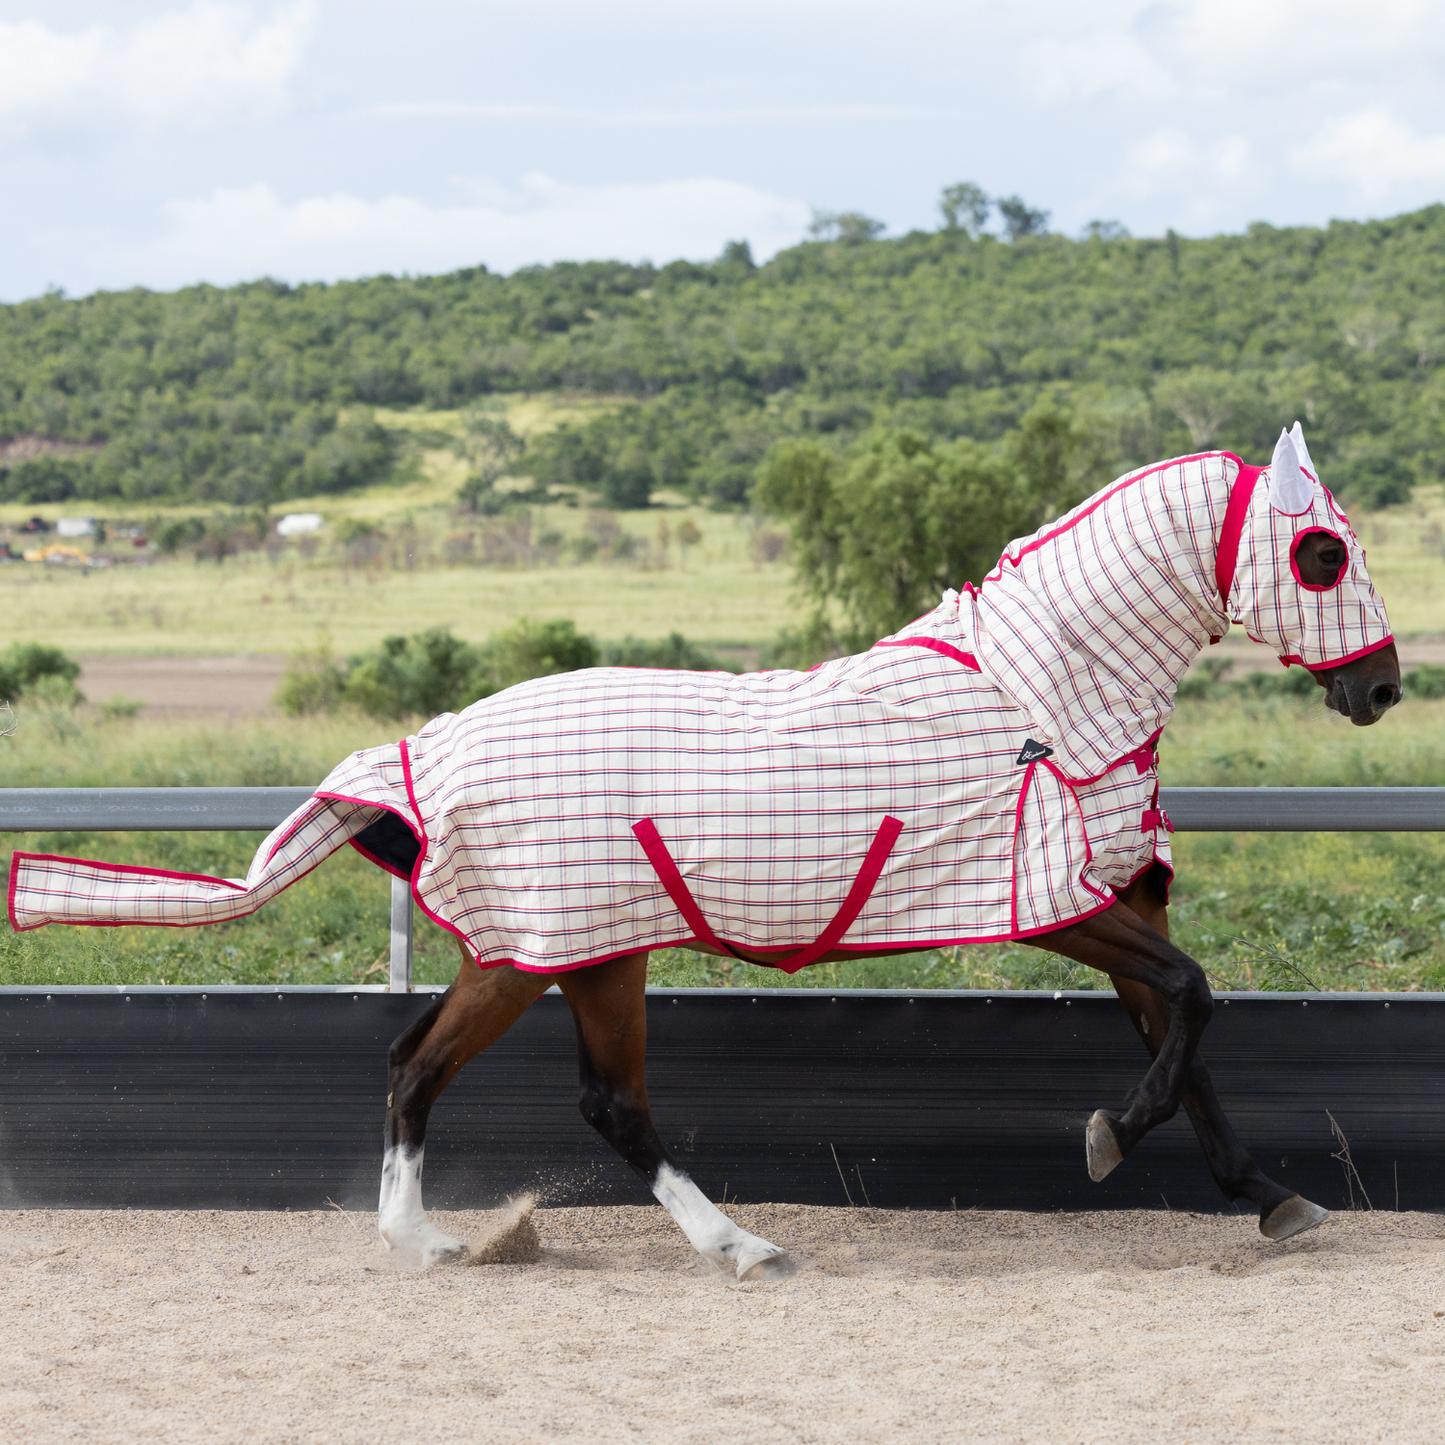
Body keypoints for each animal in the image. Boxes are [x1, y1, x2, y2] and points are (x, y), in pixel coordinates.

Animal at [2, 424, 1398, 1277]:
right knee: (500, 1084)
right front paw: (1110, 1134)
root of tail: (426, 744)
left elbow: (1185, 1023)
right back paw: (706, 1243)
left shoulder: (1114, 901)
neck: (1038, 701)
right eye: (1320, 551)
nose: (1380, 686)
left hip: (579, 954)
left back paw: (472, 1240)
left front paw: (1265, 1192)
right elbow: (1188, 1002)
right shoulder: (1055, 901)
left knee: (486, 1077)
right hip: (544, 949)